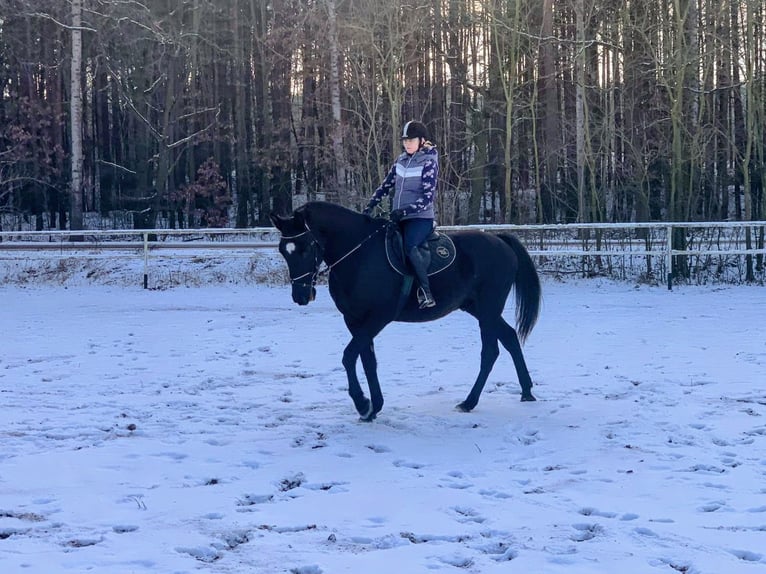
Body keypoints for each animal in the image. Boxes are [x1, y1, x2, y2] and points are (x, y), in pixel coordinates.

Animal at [269, 201, 541, 421]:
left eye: (306, 247)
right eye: (283, 250)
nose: (301, 296)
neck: (358, 255)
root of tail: (499, 240)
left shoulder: (377, 318)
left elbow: (348, 356)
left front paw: (363, 404)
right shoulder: (355, 321)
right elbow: (367, 360)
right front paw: (374, 407)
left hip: (487, 310)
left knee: (491, 351)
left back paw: (469, 402)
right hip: (479, 309)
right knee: (510, 338)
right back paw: (526, 391)